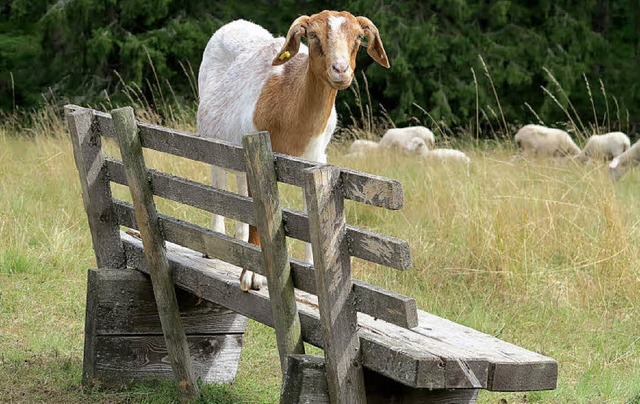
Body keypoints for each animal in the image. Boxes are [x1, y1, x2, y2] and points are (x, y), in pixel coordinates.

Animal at [196, 11, 390, 288]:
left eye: (358, 38)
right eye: (313, 35)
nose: (341, 70)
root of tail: (235, 24)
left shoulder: (314, 159)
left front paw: (312, 269)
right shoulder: (257, 153)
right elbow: (259, 210)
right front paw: (253, 275)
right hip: (214, 140)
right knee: (218, 180)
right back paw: (214, 242)